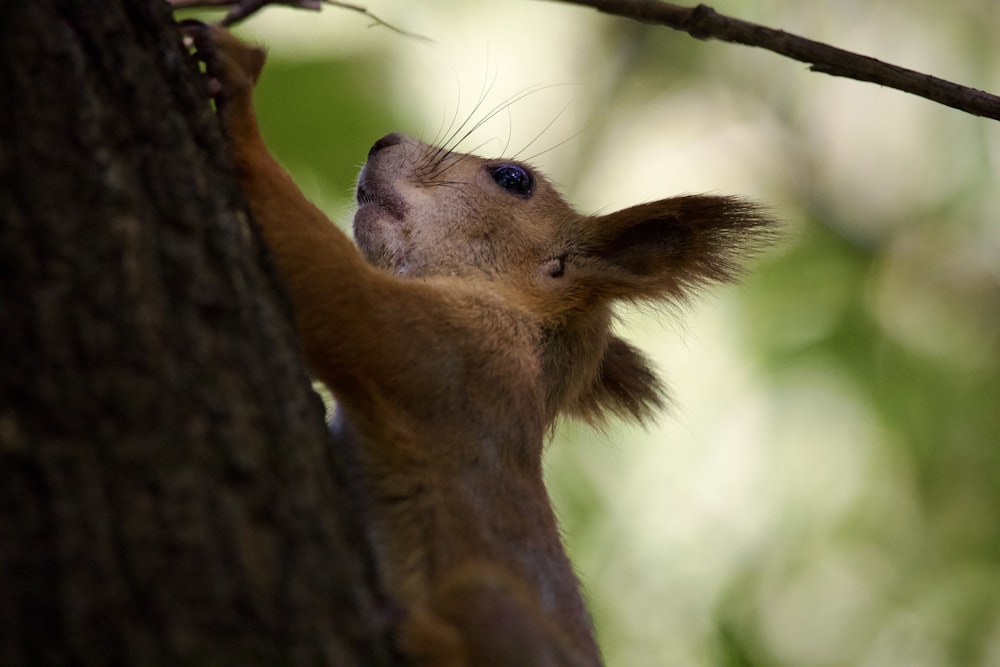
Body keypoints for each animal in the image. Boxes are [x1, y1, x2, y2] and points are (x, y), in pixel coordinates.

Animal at [184, 20, 776, 667]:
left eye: (513, 179)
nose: (383, 141)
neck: (517, 326)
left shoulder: (454, 350)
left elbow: (330, 285)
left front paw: (237, 85)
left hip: (489, 599)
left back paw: (414, 632)